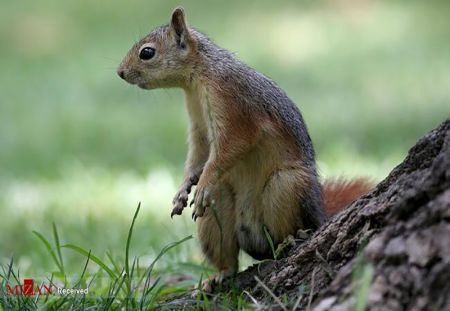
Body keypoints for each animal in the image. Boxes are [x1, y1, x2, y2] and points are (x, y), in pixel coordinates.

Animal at [117, 5, 372, 292]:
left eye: (147, 52)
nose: (120, 72)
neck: (198, 77)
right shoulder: (198, 124)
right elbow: (198, 155)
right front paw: (183, 189)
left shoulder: (234, 107)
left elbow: (229, 148)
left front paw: (202, 182)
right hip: (220, 207)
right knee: (229, 254)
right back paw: (219, 275)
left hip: (286, 186)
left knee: (286, 230)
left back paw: (290, 239)